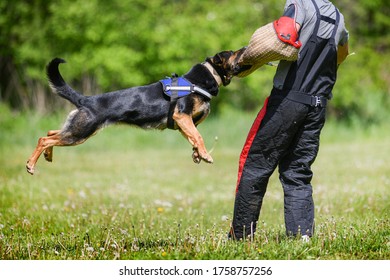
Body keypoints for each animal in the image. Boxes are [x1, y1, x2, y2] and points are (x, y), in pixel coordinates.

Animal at [25, 49, 244, 174]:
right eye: (232, 52)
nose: (244, 48)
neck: (201, 81)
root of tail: (85, 99)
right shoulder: (181, 116)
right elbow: (198, 137)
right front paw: (206, 155)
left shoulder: (184, 124)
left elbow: (194, 138)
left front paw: (198, 155)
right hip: (80, 132)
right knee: (44, 139)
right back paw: (31, 164)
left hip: (77, 129)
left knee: (51, 133)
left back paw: (47, 156)